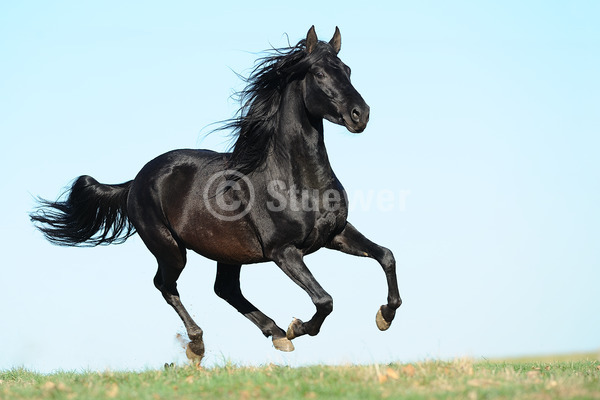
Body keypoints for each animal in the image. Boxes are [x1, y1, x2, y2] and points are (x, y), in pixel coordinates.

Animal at [30, 26, 400, 360]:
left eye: (347, 70)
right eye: (320, 73)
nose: (361, 115)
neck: (295, 180)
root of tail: (135, 181)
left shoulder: (335, 234)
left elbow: (385, 255)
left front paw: (385, 316)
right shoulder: (284, 251)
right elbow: (324, 300)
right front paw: (299, 327)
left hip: (228, 251)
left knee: (225, 289)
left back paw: (275, 333)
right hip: (170, 249)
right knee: (165, 285)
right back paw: (199, 343)